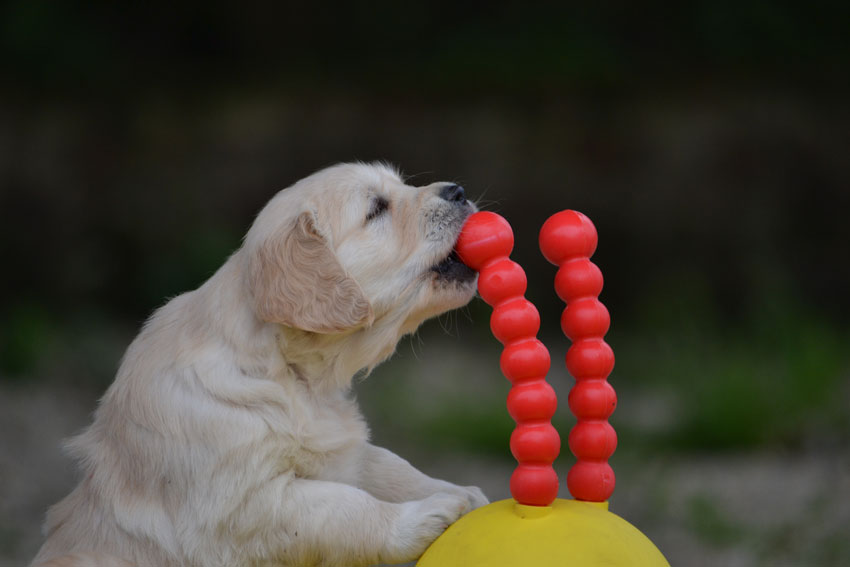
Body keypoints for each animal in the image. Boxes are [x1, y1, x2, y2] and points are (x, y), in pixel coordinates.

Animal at [33, 163, 486, 567]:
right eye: (376, 209)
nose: (459, 191)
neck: (291, 376)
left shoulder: (340, 453)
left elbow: (390, 465)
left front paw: (461, 493)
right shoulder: (245, 504)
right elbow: (342, 506)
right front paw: (422, 518)